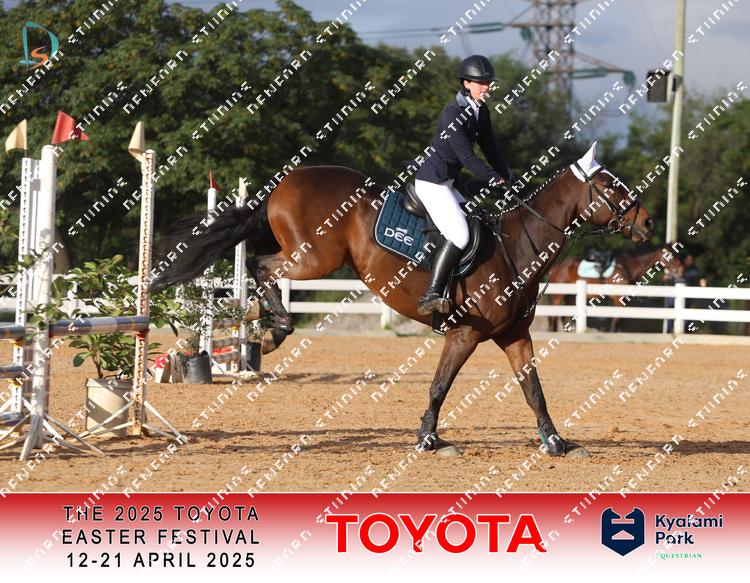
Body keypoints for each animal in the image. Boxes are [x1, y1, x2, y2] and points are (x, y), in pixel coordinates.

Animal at [151, 143, 654, 457]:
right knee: (261, 266)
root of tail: (285, 182)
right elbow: (439, 386)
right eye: (611, 185)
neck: (518, 244)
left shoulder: (513, 335)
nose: (647, 223)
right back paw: (273, 327)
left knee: (261, 266)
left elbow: (533, 389)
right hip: (313, 256)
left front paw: (555, 443)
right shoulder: (465, 334)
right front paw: (429, 440)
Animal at [548, 245, 684, 332]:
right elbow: (617, 317)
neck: (627, 267)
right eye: (671, 255)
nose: (681, 270)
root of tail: (557, 267)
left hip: (570, 296)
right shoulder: (618, 298)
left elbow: (620, 317)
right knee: (554, 316)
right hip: (558, 296)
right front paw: (614, 331)